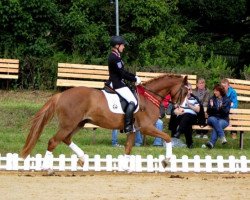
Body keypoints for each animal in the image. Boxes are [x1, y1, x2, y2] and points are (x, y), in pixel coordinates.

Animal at [21, 74, 188, 170]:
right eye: (186, 92)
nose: (182, 109)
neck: (148, 97)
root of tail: (61, 95)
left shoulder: (133, 129)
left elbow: (128, 149)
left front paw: (124, 167)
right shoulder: (146, 127)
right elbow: (167, 138)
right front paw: (166, 161)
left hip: (78, 123)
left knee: (66, 139)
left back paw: (83, 158)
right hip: (69, 124)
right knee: (53, 141)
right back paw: (46, 167)